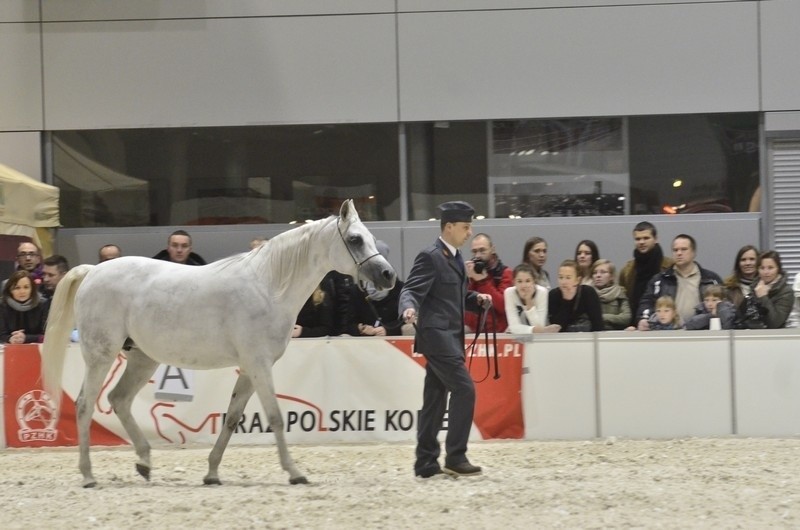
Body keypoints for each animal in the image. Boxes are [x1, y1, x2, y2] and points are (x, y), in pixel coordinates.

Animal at [42, 201, 396, 486]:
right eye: (355, 239)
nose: (388, 275)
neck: (269, 287)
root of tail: (92, 271)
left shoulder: (250, 369)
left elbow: (232, 418)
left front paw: (212, 473)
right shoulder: (259, 364)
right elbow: (276, 417)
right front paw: (295, 472)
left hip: (143, 359)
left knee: (119, 399)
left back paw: (144, 463)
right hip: (101, 356)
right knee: (86, 404)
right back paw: (88, 475)